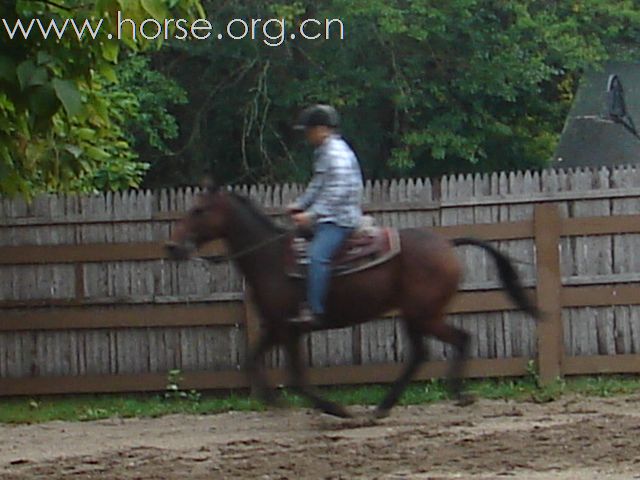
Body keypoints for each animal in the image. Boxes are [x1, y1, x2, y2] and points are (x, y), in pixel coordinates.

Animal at [165, 182, 540, 418]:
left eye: (199, 210)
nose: (171, 246)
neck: (271, 258)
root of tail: (447, 244)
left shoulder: (290, 330)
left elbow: (297, 377)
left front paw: (336, 410)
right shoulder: (275, 327)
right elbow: (252, 359)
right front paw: (274, 401)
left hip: (424, 314)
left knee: (458, 339)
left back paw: (457, 394)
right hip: (415, 316)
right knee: (422, 353)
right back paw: (385, 406)